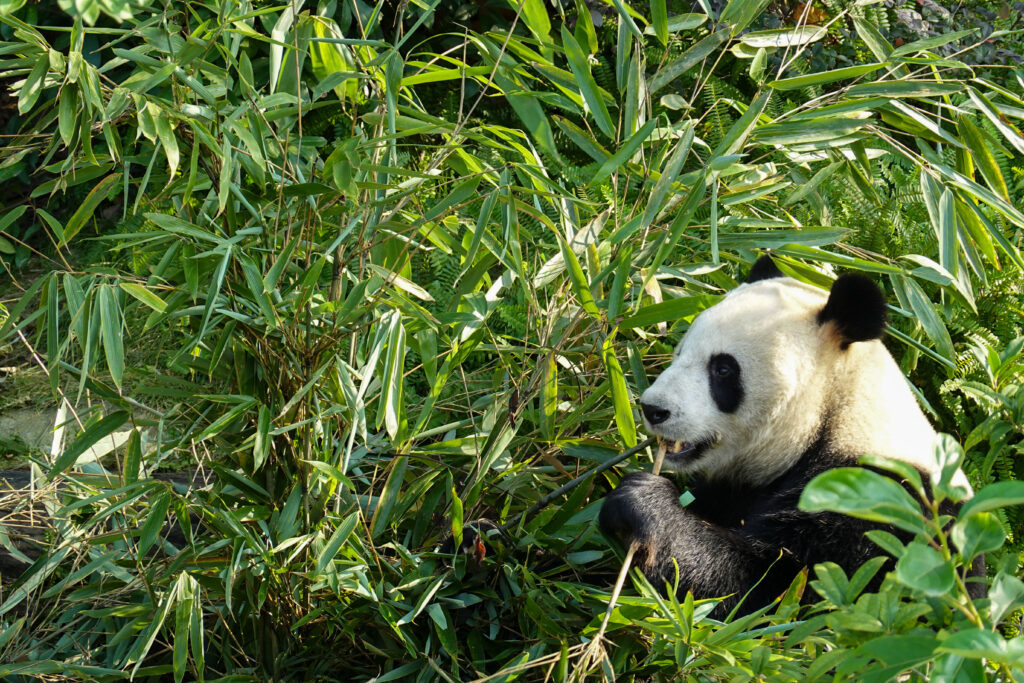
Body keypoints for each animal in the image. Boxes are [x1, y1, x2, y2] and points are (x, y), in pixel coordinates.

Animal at [598, 258, 978, 618]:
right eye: (679, 353)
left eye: (723, 369)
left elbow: (774, 593)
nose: (653, 409)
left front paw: (641, 502)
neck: (836, 411)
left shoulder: (876, 507)